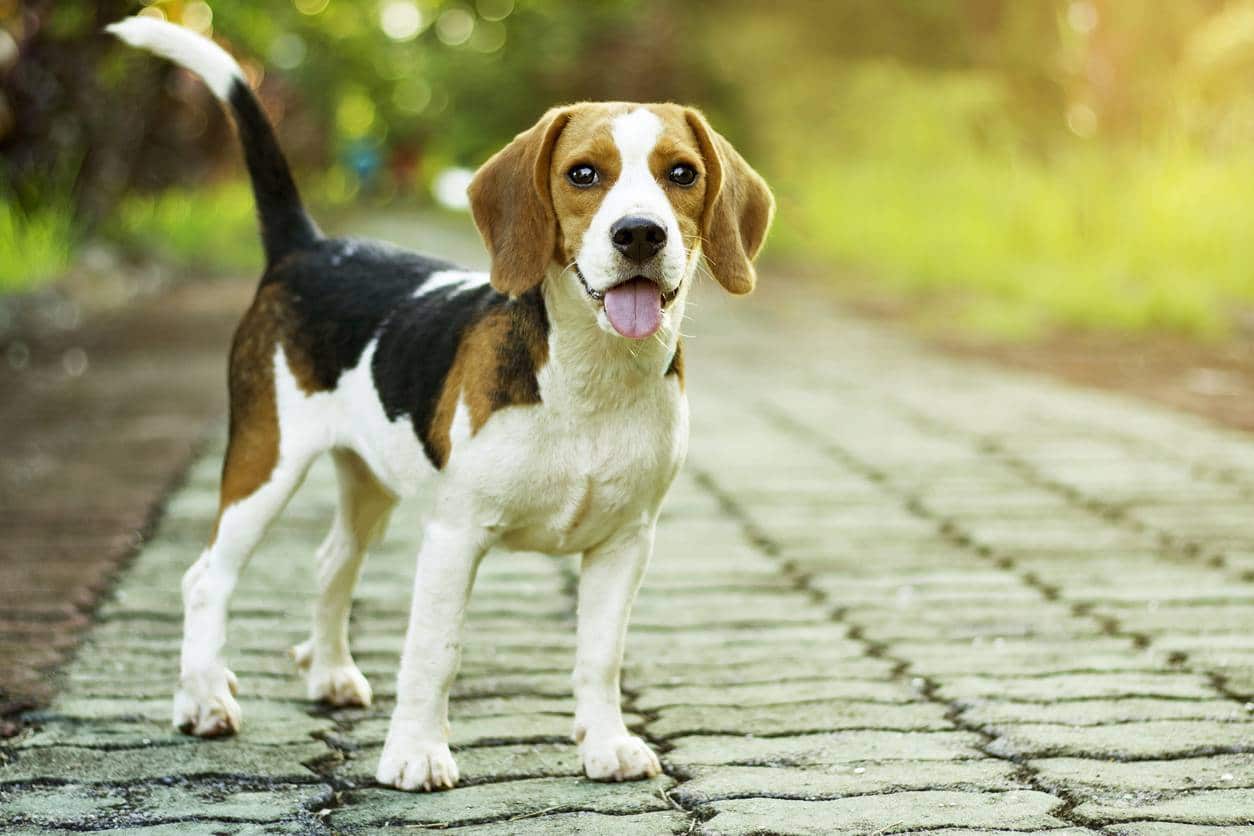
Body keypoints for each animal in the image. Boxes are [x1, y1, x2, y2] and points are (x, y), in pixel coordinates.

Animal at [110, 18, 772, 792]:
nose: (639, 233)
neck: (592, 376)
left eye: (682, 174)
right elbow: (435, 652)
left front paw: (606, 743)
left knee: (332, 562)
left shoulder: (625, 541)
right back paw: (205, 699)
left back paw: (329, 673)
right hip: (264, 463)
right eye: (583, 173)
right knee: (206, 579)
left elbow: (600, 654)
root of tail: (307, 247)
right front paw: (417, 753)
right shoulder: (456, 536)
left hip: (366, 480)